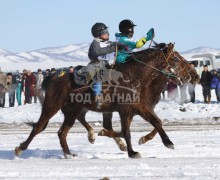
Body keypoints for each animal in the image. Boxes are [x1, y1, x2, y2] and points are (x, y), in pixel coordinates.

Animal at [14, 43, 199, 158]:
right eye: (176, 59)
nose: (194, 76)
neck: (136, 77)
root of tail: (53, 78)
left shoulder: (140, 107)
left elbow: (157, 122)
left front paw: (167, 142)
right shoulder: (125, 110)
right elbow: (126, 131)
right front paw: (132, 152)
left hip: (72, 111)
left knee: (62, 132)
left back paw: (69, 153)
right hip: (52, 106)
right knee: (39, 127)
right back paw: (20, 148)